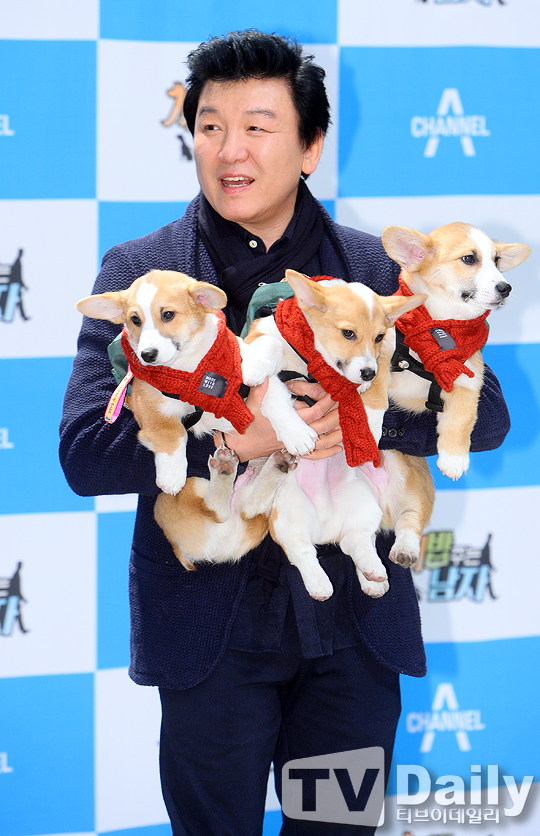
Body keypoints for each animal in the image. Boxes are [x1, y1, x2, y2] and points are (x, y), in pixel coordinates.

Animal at [75, 269, 319, 496]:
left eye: (168, 314)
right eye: (135, 320)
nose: (147, 355)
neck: (192, 370)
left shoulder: (262, 378)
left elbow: (274, 402)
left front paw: (297, 434)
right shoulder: (146, 403)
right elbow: (171, 432)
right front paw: (172, 476)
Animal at [382, 223, 530, 480]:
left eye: (497, 260)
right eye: (469, 258)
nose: (506, 288)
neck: (440, 327)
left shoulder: (467, 383)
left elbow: (460, 420)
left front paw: (454, 460)